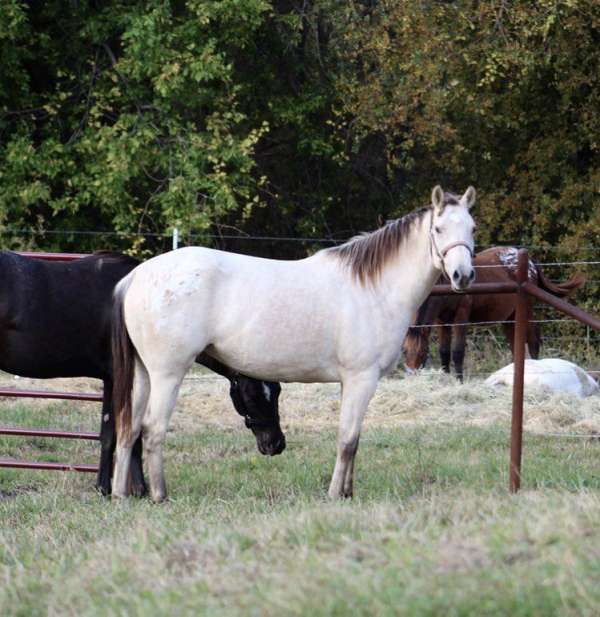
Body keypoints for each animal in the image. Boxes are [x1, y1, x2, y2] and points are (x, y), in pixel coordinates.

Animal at [113, 184, 478, 500]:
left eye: (472, 228)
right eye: (439, 229)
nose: (463, 275)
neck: (374, 288)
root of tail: (136, 276)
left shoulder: (352, 382)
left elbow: (354, 438)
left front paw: (348, 493)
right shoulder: (361, 378)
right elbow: (347, 439)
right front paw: (335, 495)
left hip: (143, 374)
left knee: (128, 429)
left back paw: (120, 495)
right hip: (167, 374)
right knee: (153, 430)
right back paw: (160, 495)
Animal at [404, 245, 584, 380]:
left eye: (423, 352)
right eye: (404, 351)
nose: (412, 374)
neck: (446, 282)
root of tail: (531, 263)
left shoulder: (461, 317)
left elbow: (458, 351)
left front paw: (459, 381)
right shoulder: (442, 321)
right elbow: (444, 352)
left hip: (526, 311)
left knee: (533, 341)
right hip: (510, 318)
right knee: (515, 345)